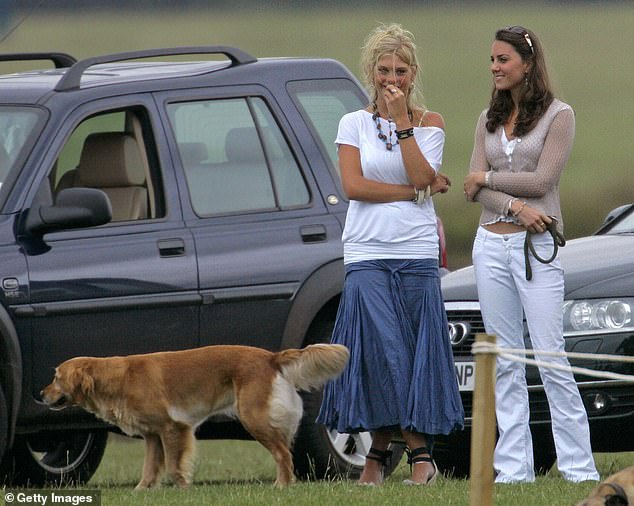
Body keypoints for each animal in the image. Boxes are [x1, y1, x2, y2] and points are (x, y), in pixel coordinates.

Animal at [42, 342, 348, 488]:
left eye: (56, 377)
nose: (41, 395)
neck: (119, 379)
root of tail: (270, 357)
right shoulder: (153, 435)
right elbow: (150, 467)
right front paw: (142, 490)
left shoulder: (172, 427)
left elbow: (174, 465)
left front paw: (182, 487)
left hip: (253, 416)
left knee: (283, 454)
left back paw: (281, 485)